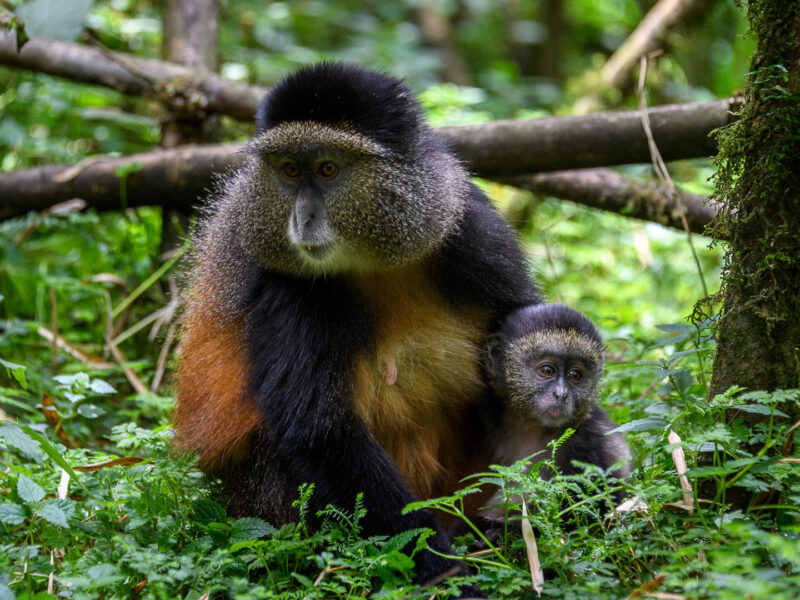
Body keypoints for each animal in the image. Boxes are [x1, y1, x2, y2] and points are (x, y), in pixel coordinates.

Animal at [173, 63, 542, 589]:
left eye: (328, 169)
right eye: (289, 170)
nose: (302, 219)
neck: (374, 259)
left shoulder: (471, 229)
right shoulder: (289, 286)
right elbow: (320, 431)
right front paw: (445, 573)